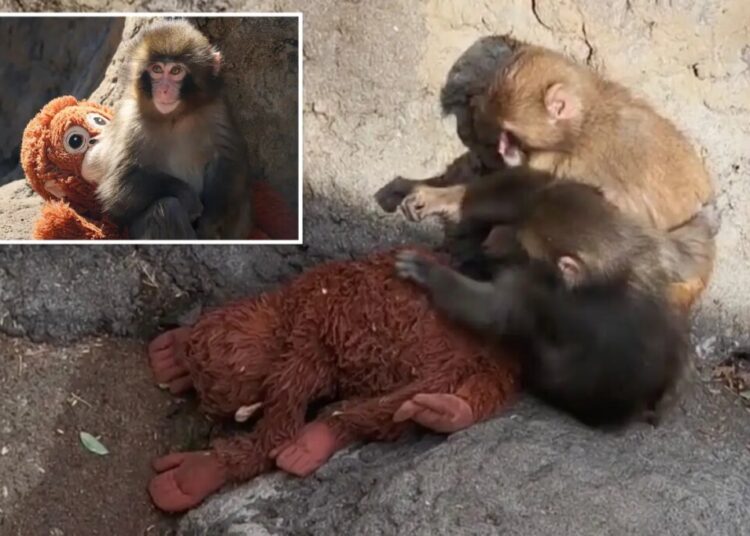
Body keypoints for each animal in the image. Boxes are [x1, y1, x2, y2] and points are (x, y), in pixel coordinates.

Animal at [90, 20, 253, 239]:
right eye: (157, 69)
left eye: (176, 71)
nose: (164, 90)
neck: (174, 117)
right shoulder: (130, 120)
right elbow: (117, 186)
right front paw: (188, 197)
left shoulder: (216, 110)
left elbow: (229, 162)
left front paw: (210, 222)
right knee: (167, 208)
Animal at [393, 169, 706, 427]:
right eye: (518, 229)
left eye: (523, 245)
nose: (493, 241)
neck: (613, 264)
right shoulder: (644, 240)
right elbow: (537, 187)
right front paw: (440, 196)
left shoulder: (540, 293)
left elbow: (494, 311)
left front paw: (430, 273)